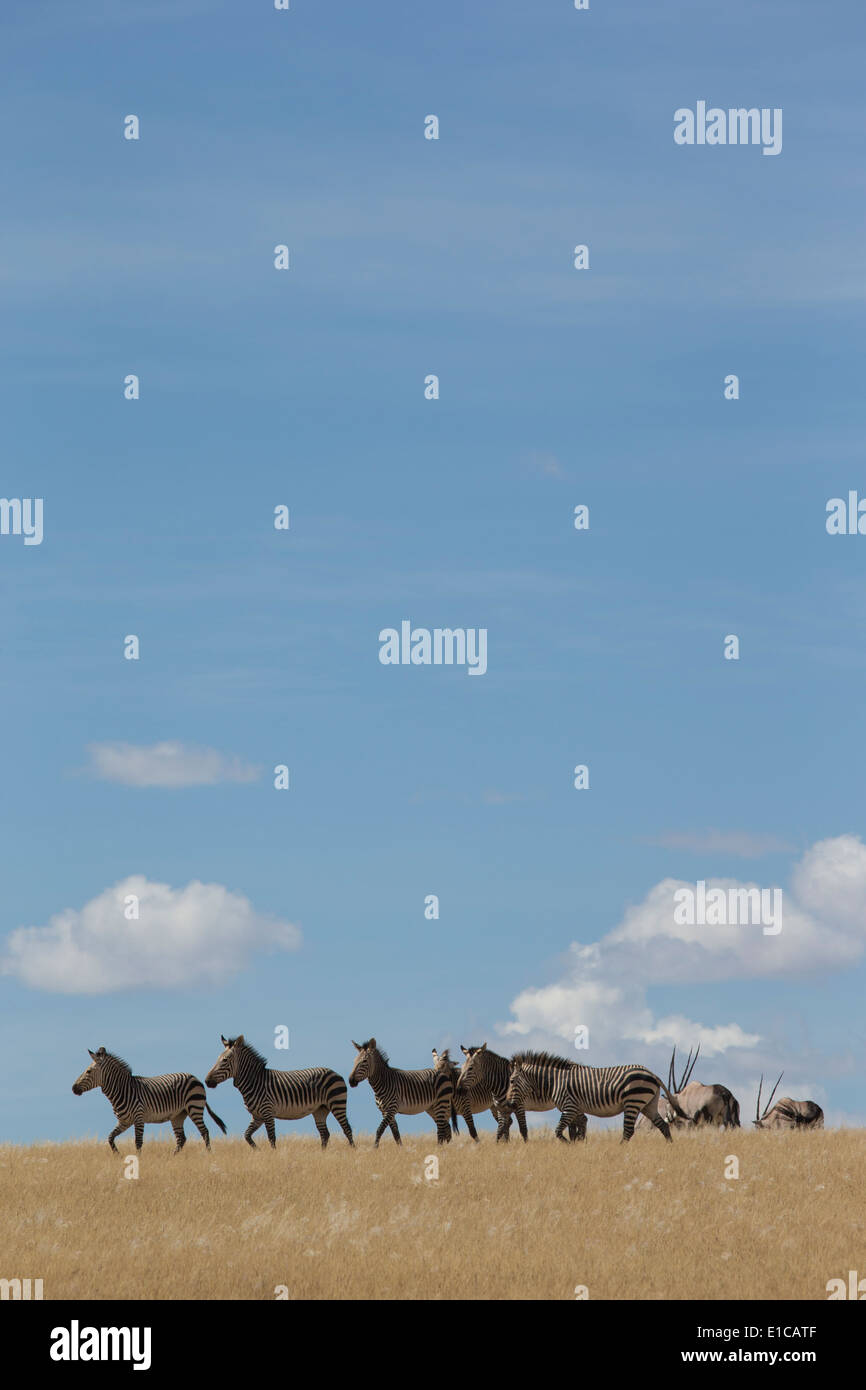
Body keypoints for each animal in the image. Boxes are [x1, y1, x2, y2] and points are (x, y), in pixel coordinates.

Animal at [71, 1045, 226, 1156]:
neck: (122, 1090)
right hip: (178, 1115)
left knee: (204, 1132)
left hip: (194, 1107)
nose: (73, 1088)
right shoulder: (124, 1122)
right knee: (181, 1138)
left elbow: (138, 1142)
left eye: (88, 1071)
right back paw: (172, 1157)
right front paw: (118, 1155)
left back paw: (208, 1154)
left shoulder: (138, 1118)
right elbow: (110, 1138)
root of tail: (195, 1078)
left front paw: (138, 1159)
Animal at [204, 1034, 353, 1150]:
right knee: (325, 1134)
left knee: (346, 1129)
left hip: (337, 1103)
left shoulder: (267, 1112)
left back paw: (353, 1151)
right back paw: (322, 1154)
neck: (254, 1081)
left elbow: (271, 1138)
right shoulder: (257, 1116)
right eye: (217, 1058)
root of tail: (335, 1072)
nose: (206, 1081)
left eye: (225, 1060)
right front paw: (258, 1151)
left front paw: (273, 1155)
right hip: (320, 1109)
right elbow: (247, 1135)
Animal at [505, 1050, 681, 1139]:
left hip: (633, 1101)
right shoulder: (576, 1109)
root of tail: (652, 1073)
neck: (555, 1081)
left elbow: (559, 1132)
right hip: (648, 1104)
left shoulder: (569, 1107)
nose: (508, 1104)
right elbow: (578, 1131)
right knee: (663, 1126)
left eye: (512, 1081)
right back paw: (670, 1148)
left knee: (628, 1131)